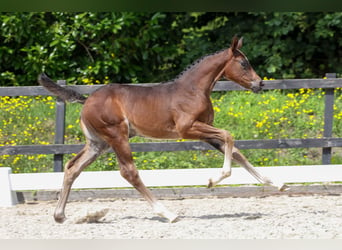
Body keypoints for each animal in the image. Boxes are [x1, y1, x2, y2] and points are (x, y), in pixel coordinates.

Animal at [38, 36, 288, 223]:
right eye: (244, 63)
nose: (260, 83)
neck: (193, 90)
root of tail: (87, 100)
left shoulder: (206, 131)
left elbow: (236, 151)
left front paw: (278, 184)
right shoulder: (188, 129)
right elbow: (229, 137)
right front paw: (212, 181)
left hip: (98, 144)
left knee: (73, 167)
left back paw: (59, 215)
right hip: (117, 136)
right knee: (128, 172)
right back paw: (168, 213)